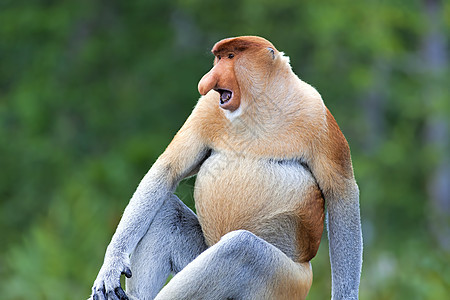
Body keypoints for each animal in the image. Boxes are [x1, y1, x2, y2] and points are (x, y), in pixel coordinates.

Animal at [89, 35, 364, 300]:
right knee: (168, 211)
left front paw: (346, 295)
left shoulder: (318, 115)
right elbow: (167, 170)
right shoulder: (206, 109)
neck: (259, 106)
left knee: (240, 249)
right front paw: (111, 267)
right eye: (218, 58)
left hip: (287, 282)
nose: (205, 82)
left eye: (231, 56)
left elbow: (341, 193)